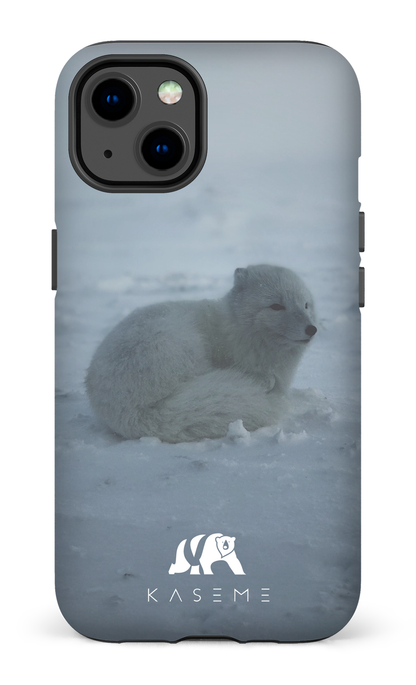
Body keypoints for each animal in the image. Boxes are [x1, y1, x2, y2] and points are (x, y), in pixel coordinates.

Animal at [86, 265, 317, 442]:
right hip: (180, 344)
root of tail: (132, 411)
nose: (311, 329)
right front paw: (264, 381)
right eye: (276, 306)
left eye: (305, 305)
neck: (235, 329)